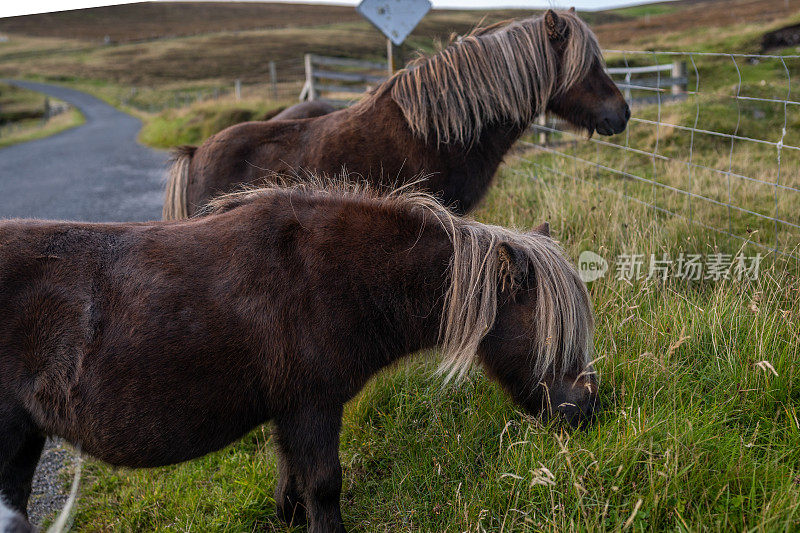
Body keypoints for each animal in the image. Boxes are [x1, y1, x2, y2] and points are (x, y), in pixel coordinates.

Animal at [0, 181, 596, 528]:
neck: (331, 274)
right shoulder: (313, 408)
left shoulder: (289, 411)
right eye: (554, 333)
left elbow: (291, 477)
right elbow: (325, 485)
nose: (588, 410)